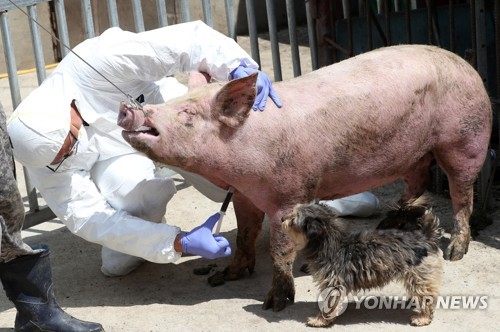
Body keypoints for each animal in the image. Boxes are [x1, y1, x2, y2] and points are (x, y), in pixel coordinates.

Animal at [117, 44, 492, 312]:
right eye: (178, 100)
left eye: (187, 113)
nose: (129, 107)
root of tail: (465, 63)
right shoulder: (244, 194)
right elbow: (246, 234)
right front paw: (224, 276)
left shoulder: (288, 194)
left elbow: (280, 248)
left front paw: (274, 304)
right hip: (414, 152)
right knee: (418, 180)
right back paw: (391, 223)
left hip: (464, 138)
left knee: (462, 191)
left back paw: (456, 252)